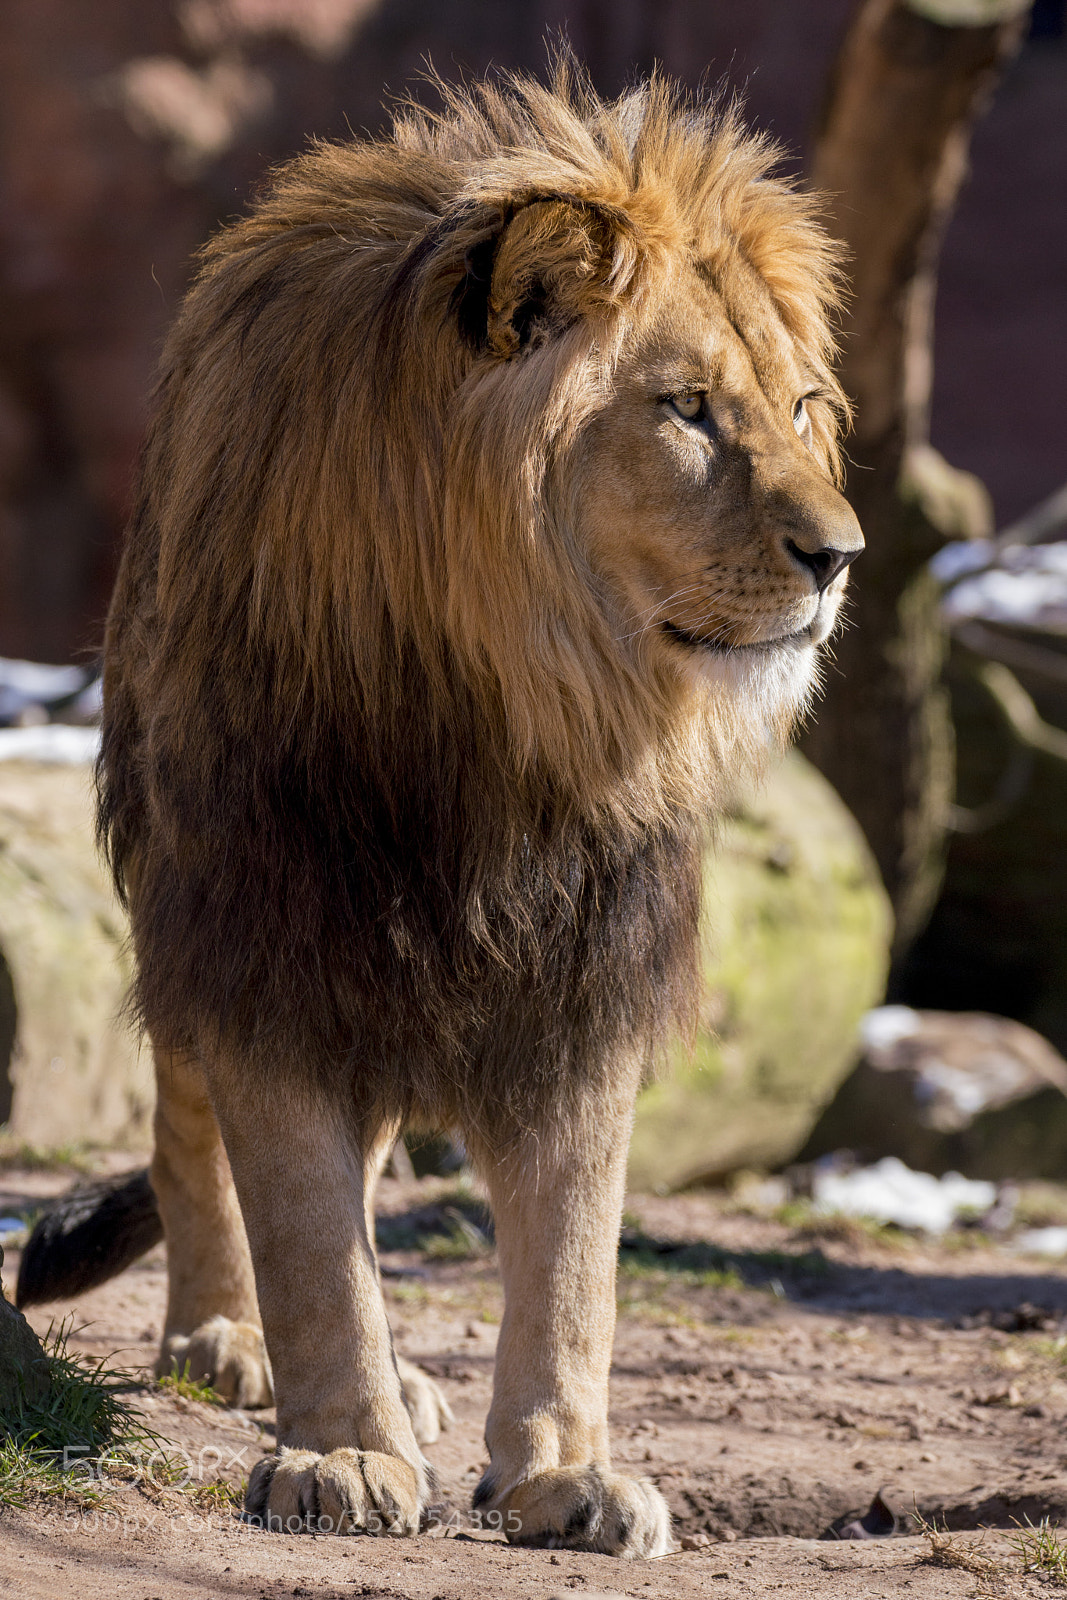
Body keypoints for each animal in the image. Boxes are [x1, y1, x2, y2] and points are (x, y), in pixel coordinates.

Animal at [22, 61, 862, 1556]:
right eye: (686, 409)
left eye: (805, 405)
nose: (839, 555)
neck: (500, 718)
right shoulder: (266, 928)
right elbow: (304, 1229)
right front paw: (340, 1453)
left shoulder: (580, 971)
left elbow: (574, 1259)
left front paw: (561, 1472)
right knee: (194, 1141)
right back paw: (227, 1338)